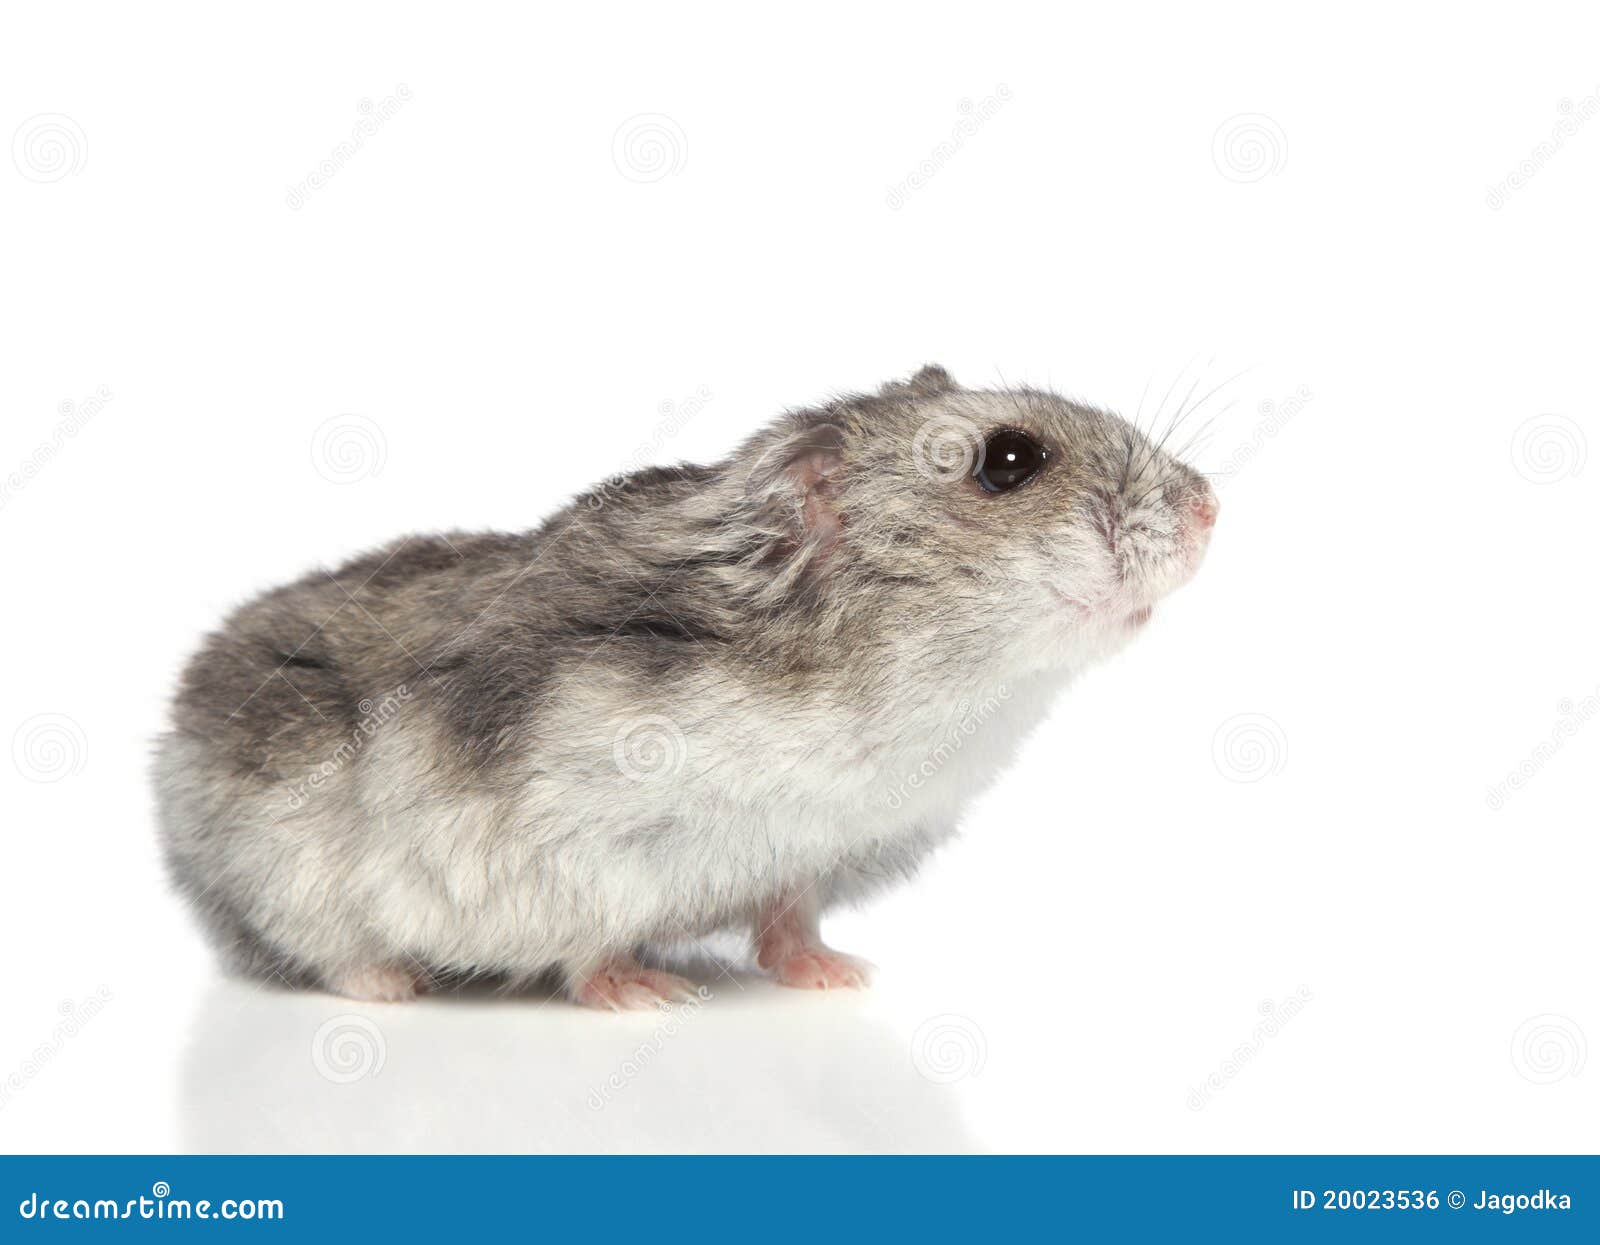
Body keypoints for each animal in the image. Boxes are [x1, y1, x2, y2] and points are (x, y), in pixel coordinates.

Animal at [153, 366, 1218, 1008]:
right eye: (1009, 460)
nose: (1212, 503)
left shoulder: (810, 854)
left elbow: (790, 916)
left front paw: (840, 975)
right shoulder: (572, 842)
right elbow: (591, 942)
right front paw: (652, 994)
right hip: (289, 870)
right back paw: (392, 984)